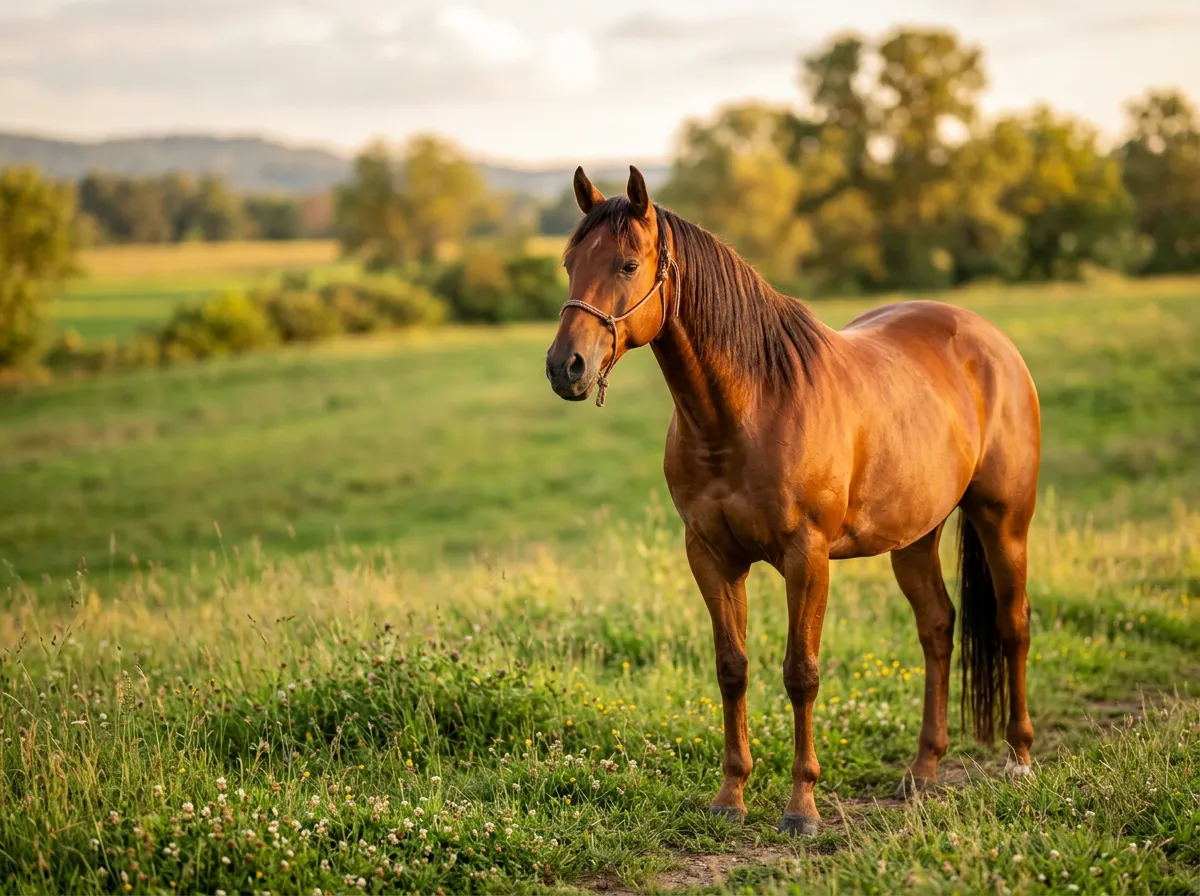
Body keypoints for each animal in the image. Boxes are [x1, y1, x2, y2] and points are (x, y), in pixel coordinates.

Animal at [545, 166, 1041, 835]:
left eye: (627, 264)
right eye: (570, 262)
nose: (565, 367)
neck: (749, 407)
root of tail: (991, 341)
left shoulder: (806, 558)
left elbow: (800, 673)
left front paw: (801, 807)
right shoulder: (711, 556)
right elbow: (732, 667)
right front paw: (730, 796)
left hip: (1004, 520)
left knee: (1013, 626)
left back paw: (1019, 760)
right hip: (915, 537)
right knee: (938, 628)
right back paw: (922, 771)